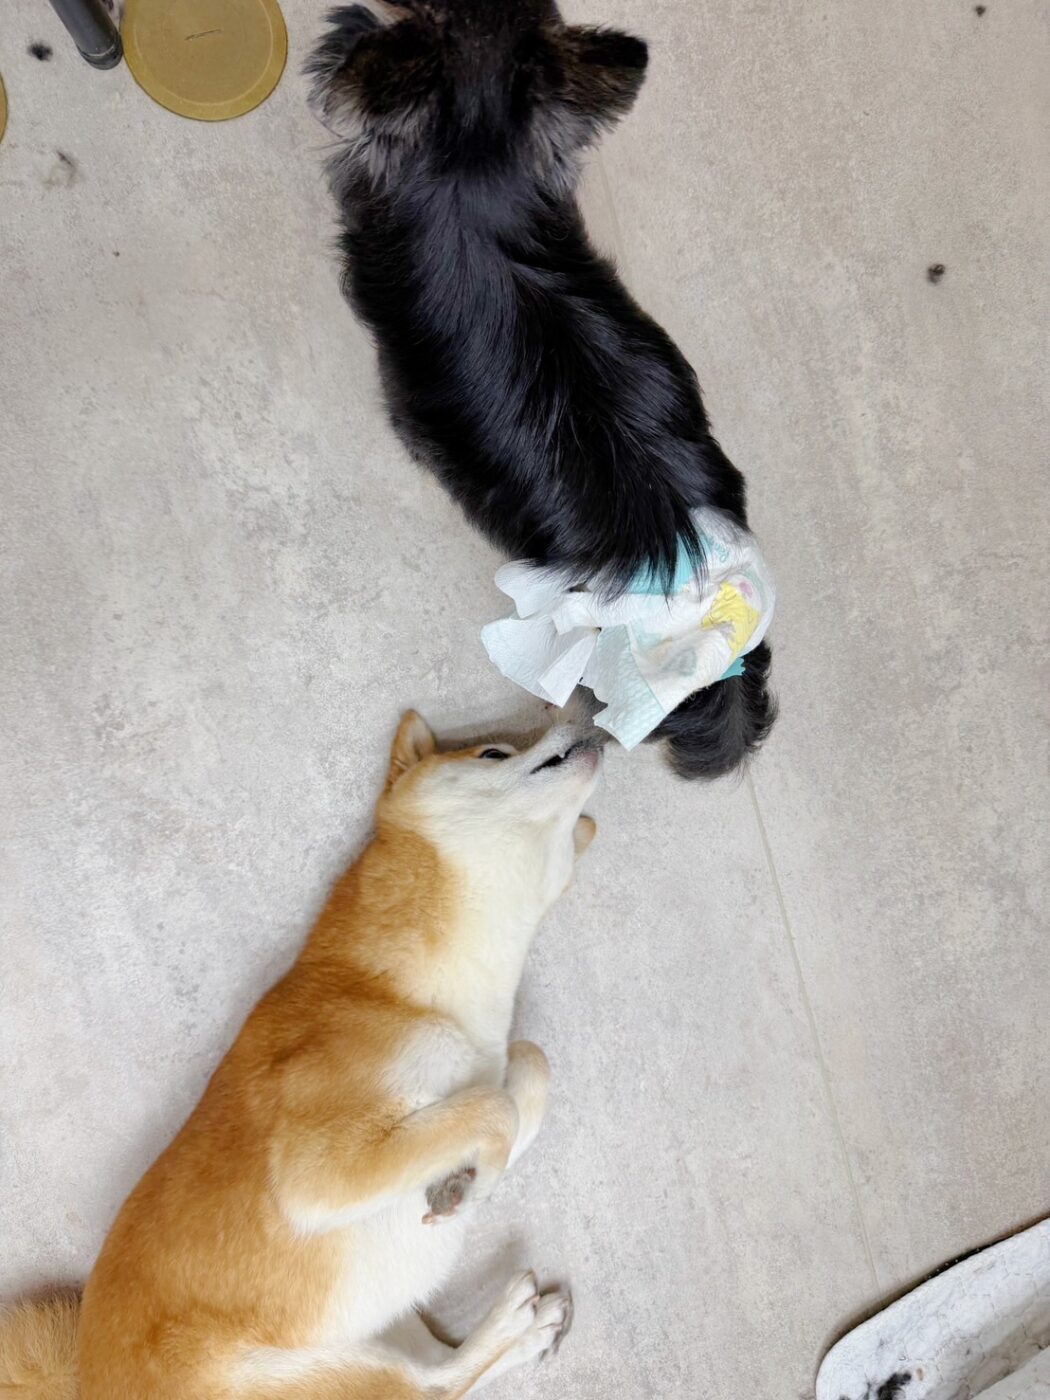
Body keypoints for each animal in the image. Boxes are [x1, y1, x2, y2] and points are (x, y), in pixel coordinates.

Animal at [0, 714, 600, 1399]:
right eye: (494, 753)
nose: (586, 719)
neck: (399, 988)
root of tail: (81, 1382)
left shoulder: (479, 1076)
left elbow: (522, 1071)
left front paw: (462, 1178)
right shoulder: (319, 1172)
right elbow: (493, 1105)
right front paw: (473, 1189)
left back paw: (522, 1331)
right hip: (317, 1372)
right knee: (438, 1382)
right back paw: (511, 1326)